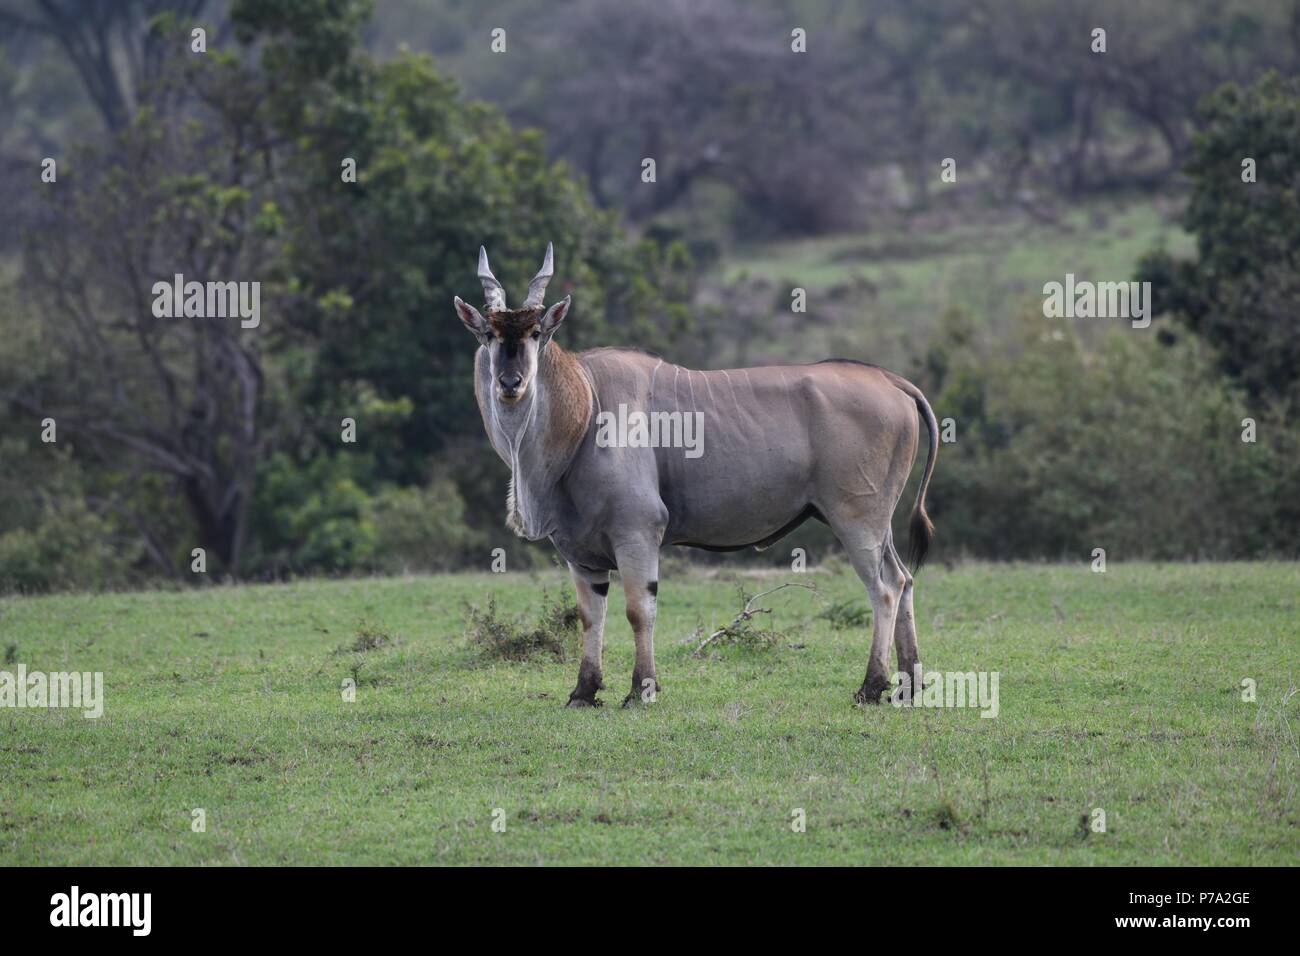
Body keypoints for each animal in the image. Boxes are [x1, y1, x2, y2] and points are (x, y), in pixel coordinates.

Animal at [454, 244, 935, 712]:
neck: (586, 404)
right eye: (489, 335)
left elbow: (638, 610)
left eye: (536, 333)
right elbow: (591, 617)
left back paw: (871, 687)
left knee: (885, 588)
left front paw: (641, 690)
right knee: (905, 580)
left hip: (856, 519)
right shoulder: (581, 554)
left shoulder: (637, 532)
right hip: (876, 525)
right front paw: (583, 692)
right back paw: (908, 685)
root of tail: (892, 380)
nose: (510, 382)